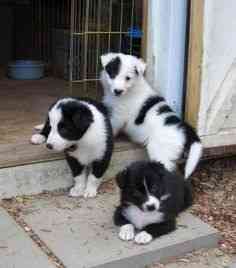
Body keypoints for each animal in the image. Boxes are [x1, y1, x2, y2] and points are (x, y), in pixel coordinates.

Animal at [100, 52, 202, 180]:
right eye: (113, 74)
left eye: (128, 78)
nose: (118, 91)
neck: (131, 89)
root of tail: (185, 128)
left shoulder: (119, 116)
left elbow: (112, 126)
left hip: (160, 151)